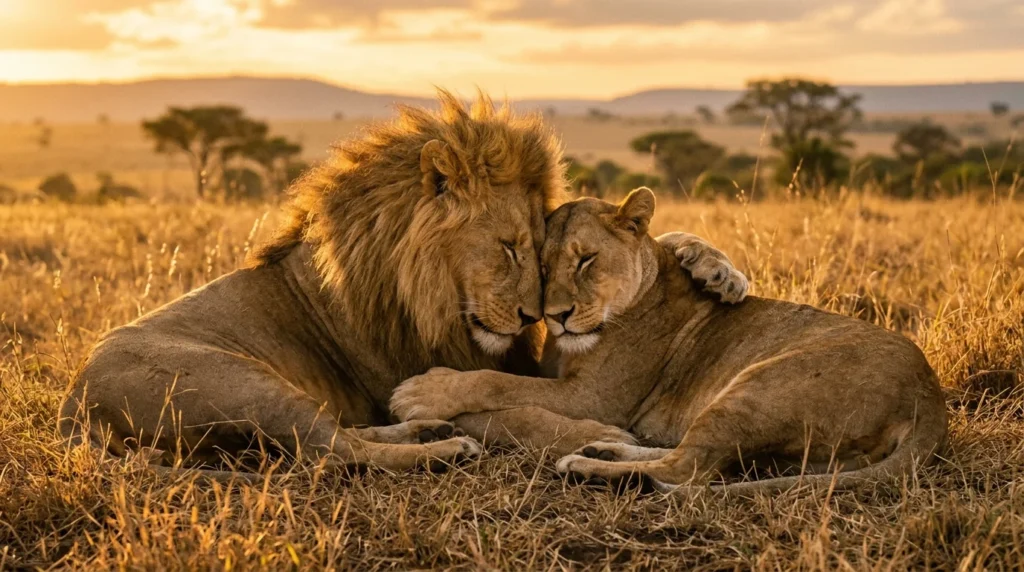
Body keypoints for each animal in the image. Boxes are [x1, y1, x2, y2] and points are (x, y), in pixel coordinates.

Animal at [59, 94, 747, 475]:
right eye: (510, 247)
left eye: (540, 251)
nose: (536, 319)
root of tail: (71, 408)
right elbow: (507, 409)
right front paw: (596, 435)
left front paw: (715, 268)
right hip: (237, 382)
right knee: (333, 451)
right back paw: (441, 449)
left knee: (340, 435)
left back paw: (424, 434)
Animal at [391, 188, 949, 494]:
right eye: (543, 267)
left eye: (587, 259)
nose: (558, 316)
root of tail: (929, 397)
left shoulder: (594, 396)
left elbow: (499, 383)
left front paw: (422, 392)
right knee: (692, 459)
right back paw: (603, 450)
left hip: (756, 388)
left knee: (688, 469)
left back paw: (585, 466)